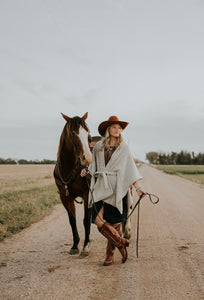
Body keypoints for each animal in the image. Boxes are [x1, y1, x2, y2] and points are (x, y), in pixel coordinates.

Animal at [54, 112, 92, 255]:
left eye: (88, 133)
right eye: (73, 133)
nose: (88, 158)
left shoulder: (87, 194)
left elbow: (86, 220)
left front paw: (86, 245)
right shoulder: (65, 197)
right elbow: (72, 220)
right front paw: (75, 245)